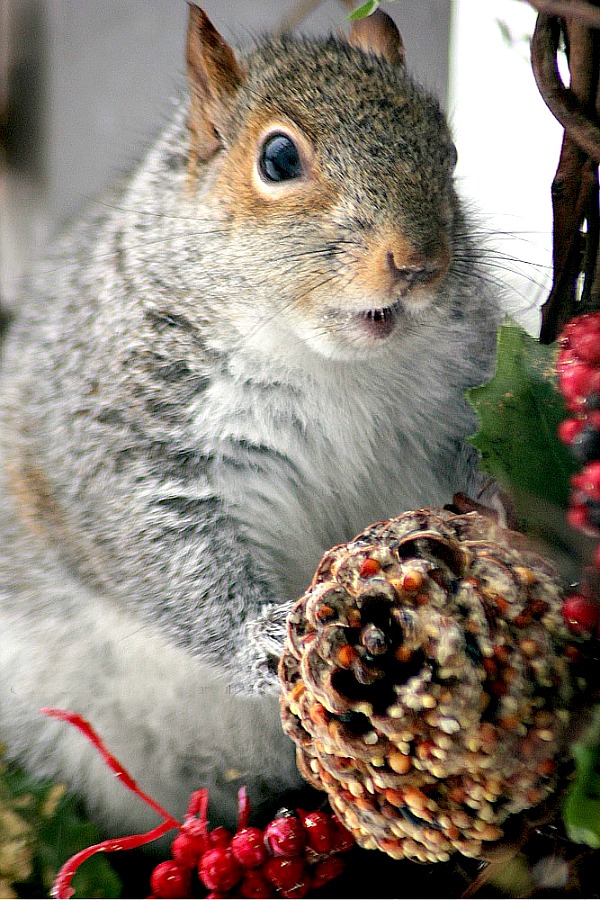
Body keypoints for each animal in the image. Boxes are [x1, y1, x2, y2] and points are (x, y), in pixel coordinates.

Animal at [0, 8, 500, 836]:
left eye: (451, 150)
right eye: (278, 157)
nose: (420, 261)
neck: (329, 364)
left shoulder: (457, 401)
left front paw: (501, 506)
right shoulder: (128, 444)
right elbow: (169, 558)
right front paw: (263, 640)